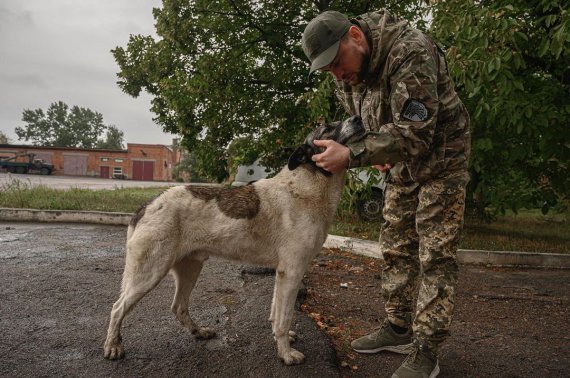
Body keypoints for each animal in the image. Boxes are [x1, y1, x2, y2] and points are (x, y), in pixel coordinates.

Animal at [103, 114, 364, 364]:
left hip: (190, 268)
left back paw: (199, 331)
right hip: (150, 273)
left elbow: (275, 312)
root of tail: (147, 205)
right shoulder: (292, 271)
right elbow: (284, 317)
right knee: (117, 308)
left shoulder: (282, 274)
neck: (307, 183)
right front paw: (286, 354)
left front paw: (281, 340)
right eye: (328, 127)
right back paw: (113, 346)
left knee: (178, 306)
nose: (358, 118)